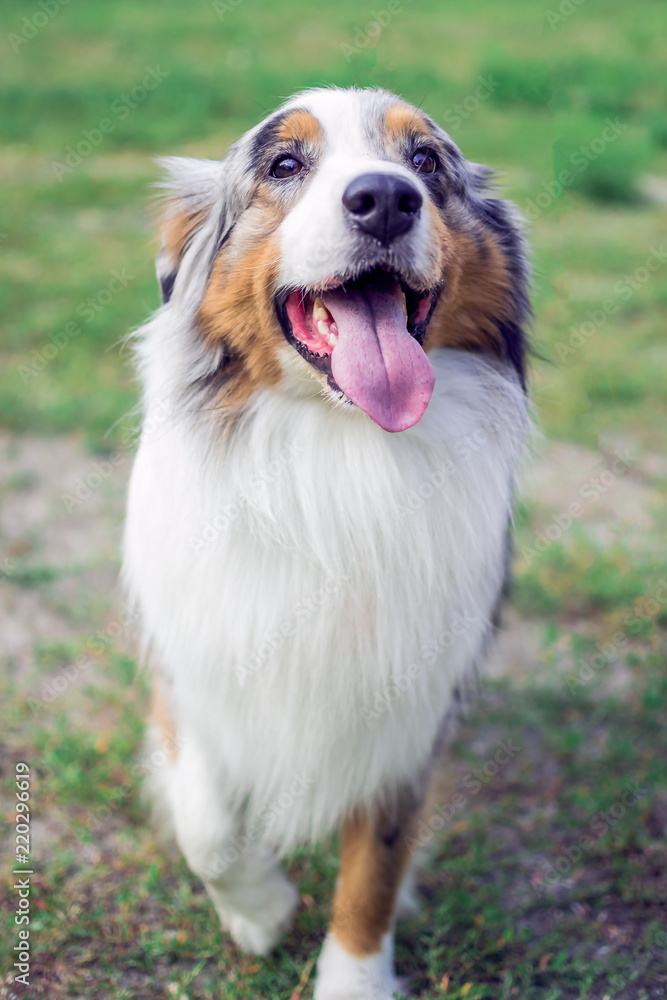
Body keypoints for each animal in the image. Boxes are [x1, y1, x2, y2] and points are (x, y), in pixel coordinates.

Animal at [124, 88, 532, 1000]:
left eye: (425, 162)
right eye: (284, 165)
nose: (384, 199)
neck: (337, 454)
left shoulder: (411, 708)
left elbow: (373, 869)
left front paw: (352, 977)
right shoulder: (192, 657)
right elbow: (207, 826)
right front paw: (261, 908)